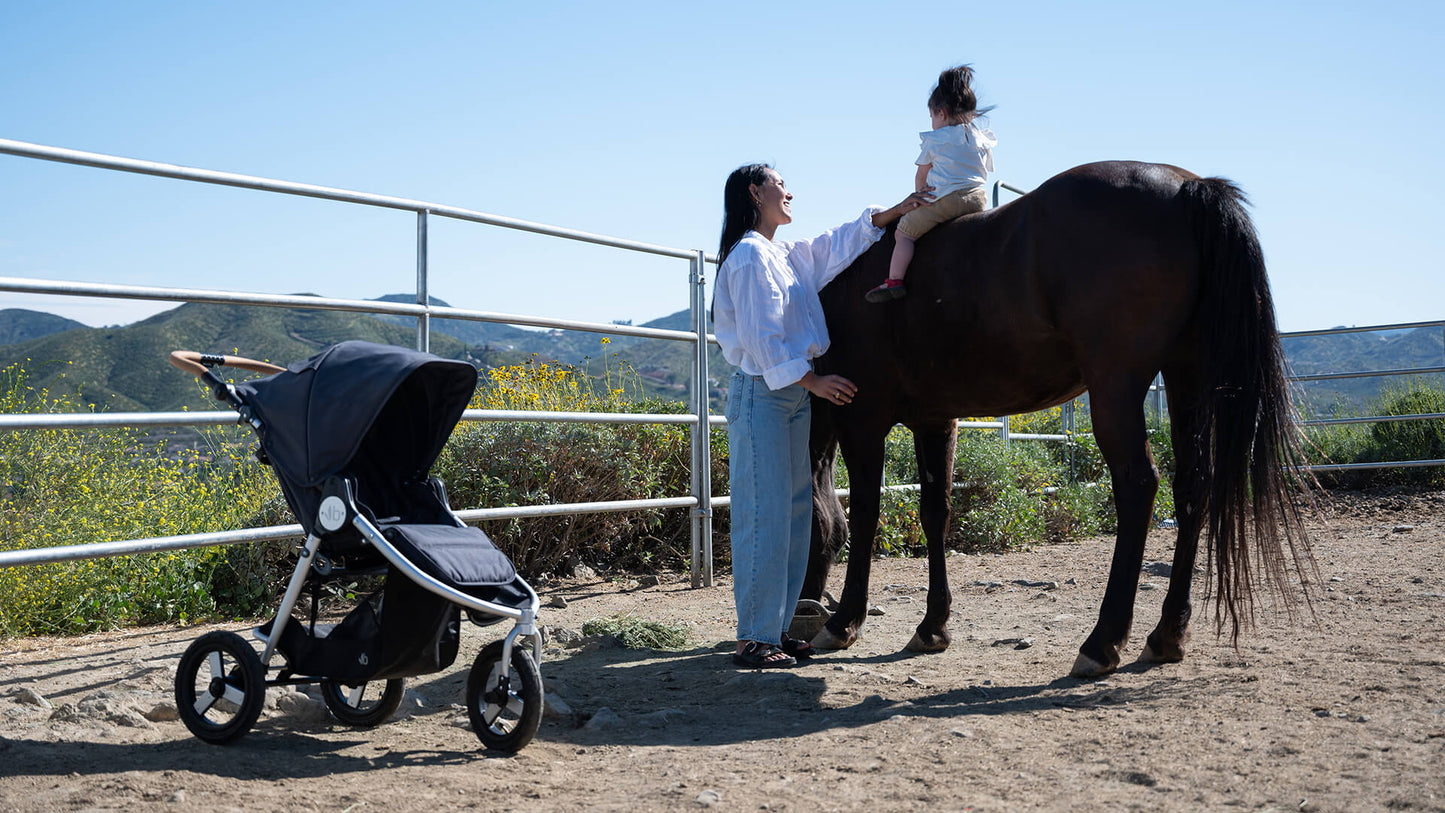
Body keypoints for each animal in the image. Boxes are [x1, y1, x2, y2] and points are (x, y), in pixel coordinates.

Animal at [809, 161, 1317, 681]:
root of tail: (1188, 187)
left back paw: (1102, 641)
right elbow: (935, 513)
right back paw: (1167, 634)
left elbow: (864, 513)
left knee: (1138, 485)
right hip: (1186, 378)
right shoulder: (936, 422)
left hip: (1116, 387)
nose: (801, 619)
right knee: (1192, 484)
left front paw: (844, 621)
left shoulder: (861, 419)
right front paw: (933, 626)